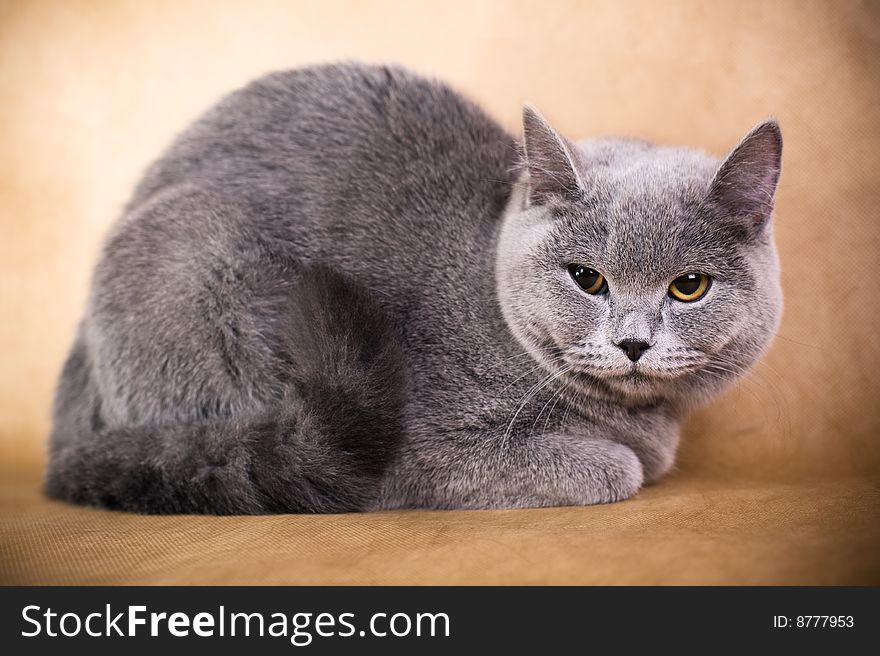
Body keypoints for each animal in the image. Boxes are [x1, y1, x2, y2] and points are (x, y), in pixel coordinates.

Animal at [44, 62, 780, 512]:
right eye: (587, 278)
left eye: (689, 287)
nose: (633, 343)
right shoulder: (418, 447)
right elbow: (618, 469)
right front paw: (620, 460)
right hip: (202, 258)